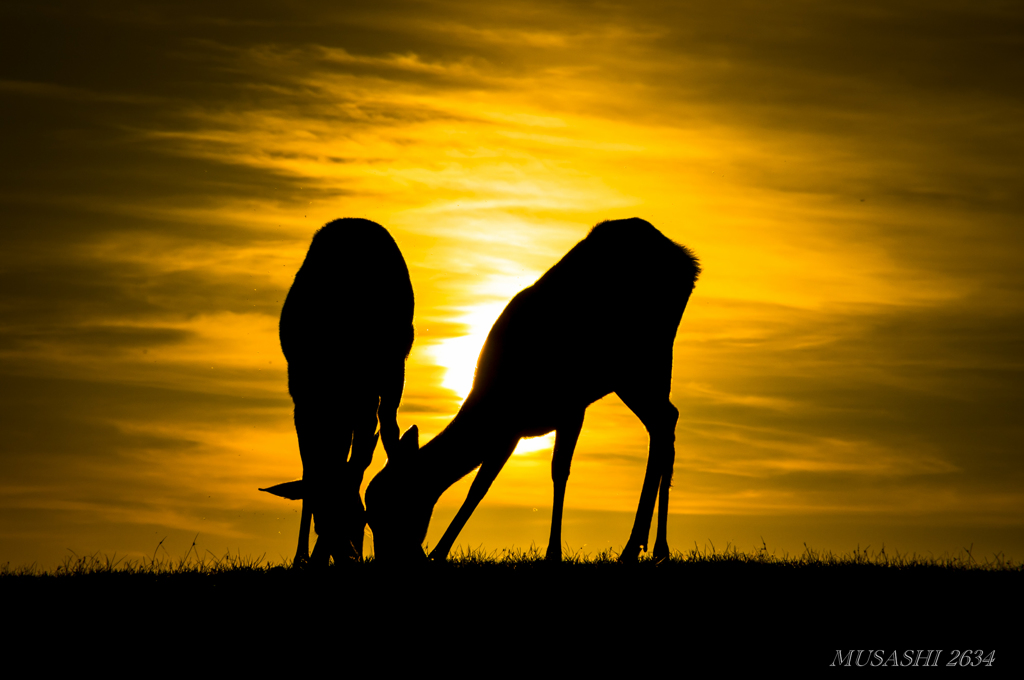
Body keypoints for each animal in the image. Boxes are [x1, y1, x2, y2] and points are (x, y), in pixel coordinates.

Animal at [262, 216, 413, 561]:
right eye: (323, 521)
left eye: (362, 519)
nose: (351, 556)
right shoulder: (300, 401)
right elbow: (310, 471)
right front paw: (301, 557)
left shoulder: (368, 392)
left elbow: (356, 461)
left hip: (393, 368)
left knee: (389, 425)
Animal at [366, 218, 696, 561]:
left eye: (388, 508)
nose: (386, 558)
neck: (495, 398)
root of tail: (688, 261)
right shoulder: (512, 430)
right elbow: (479, 487)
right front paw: (440, 552)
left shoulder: (570, 405)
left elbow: (558, 471)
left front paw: (553, 553)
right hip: (639, 370)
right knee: (666, 421)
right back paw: (657, 547)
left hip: (643, 359)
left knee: (663, 423)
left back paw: (634, 547)